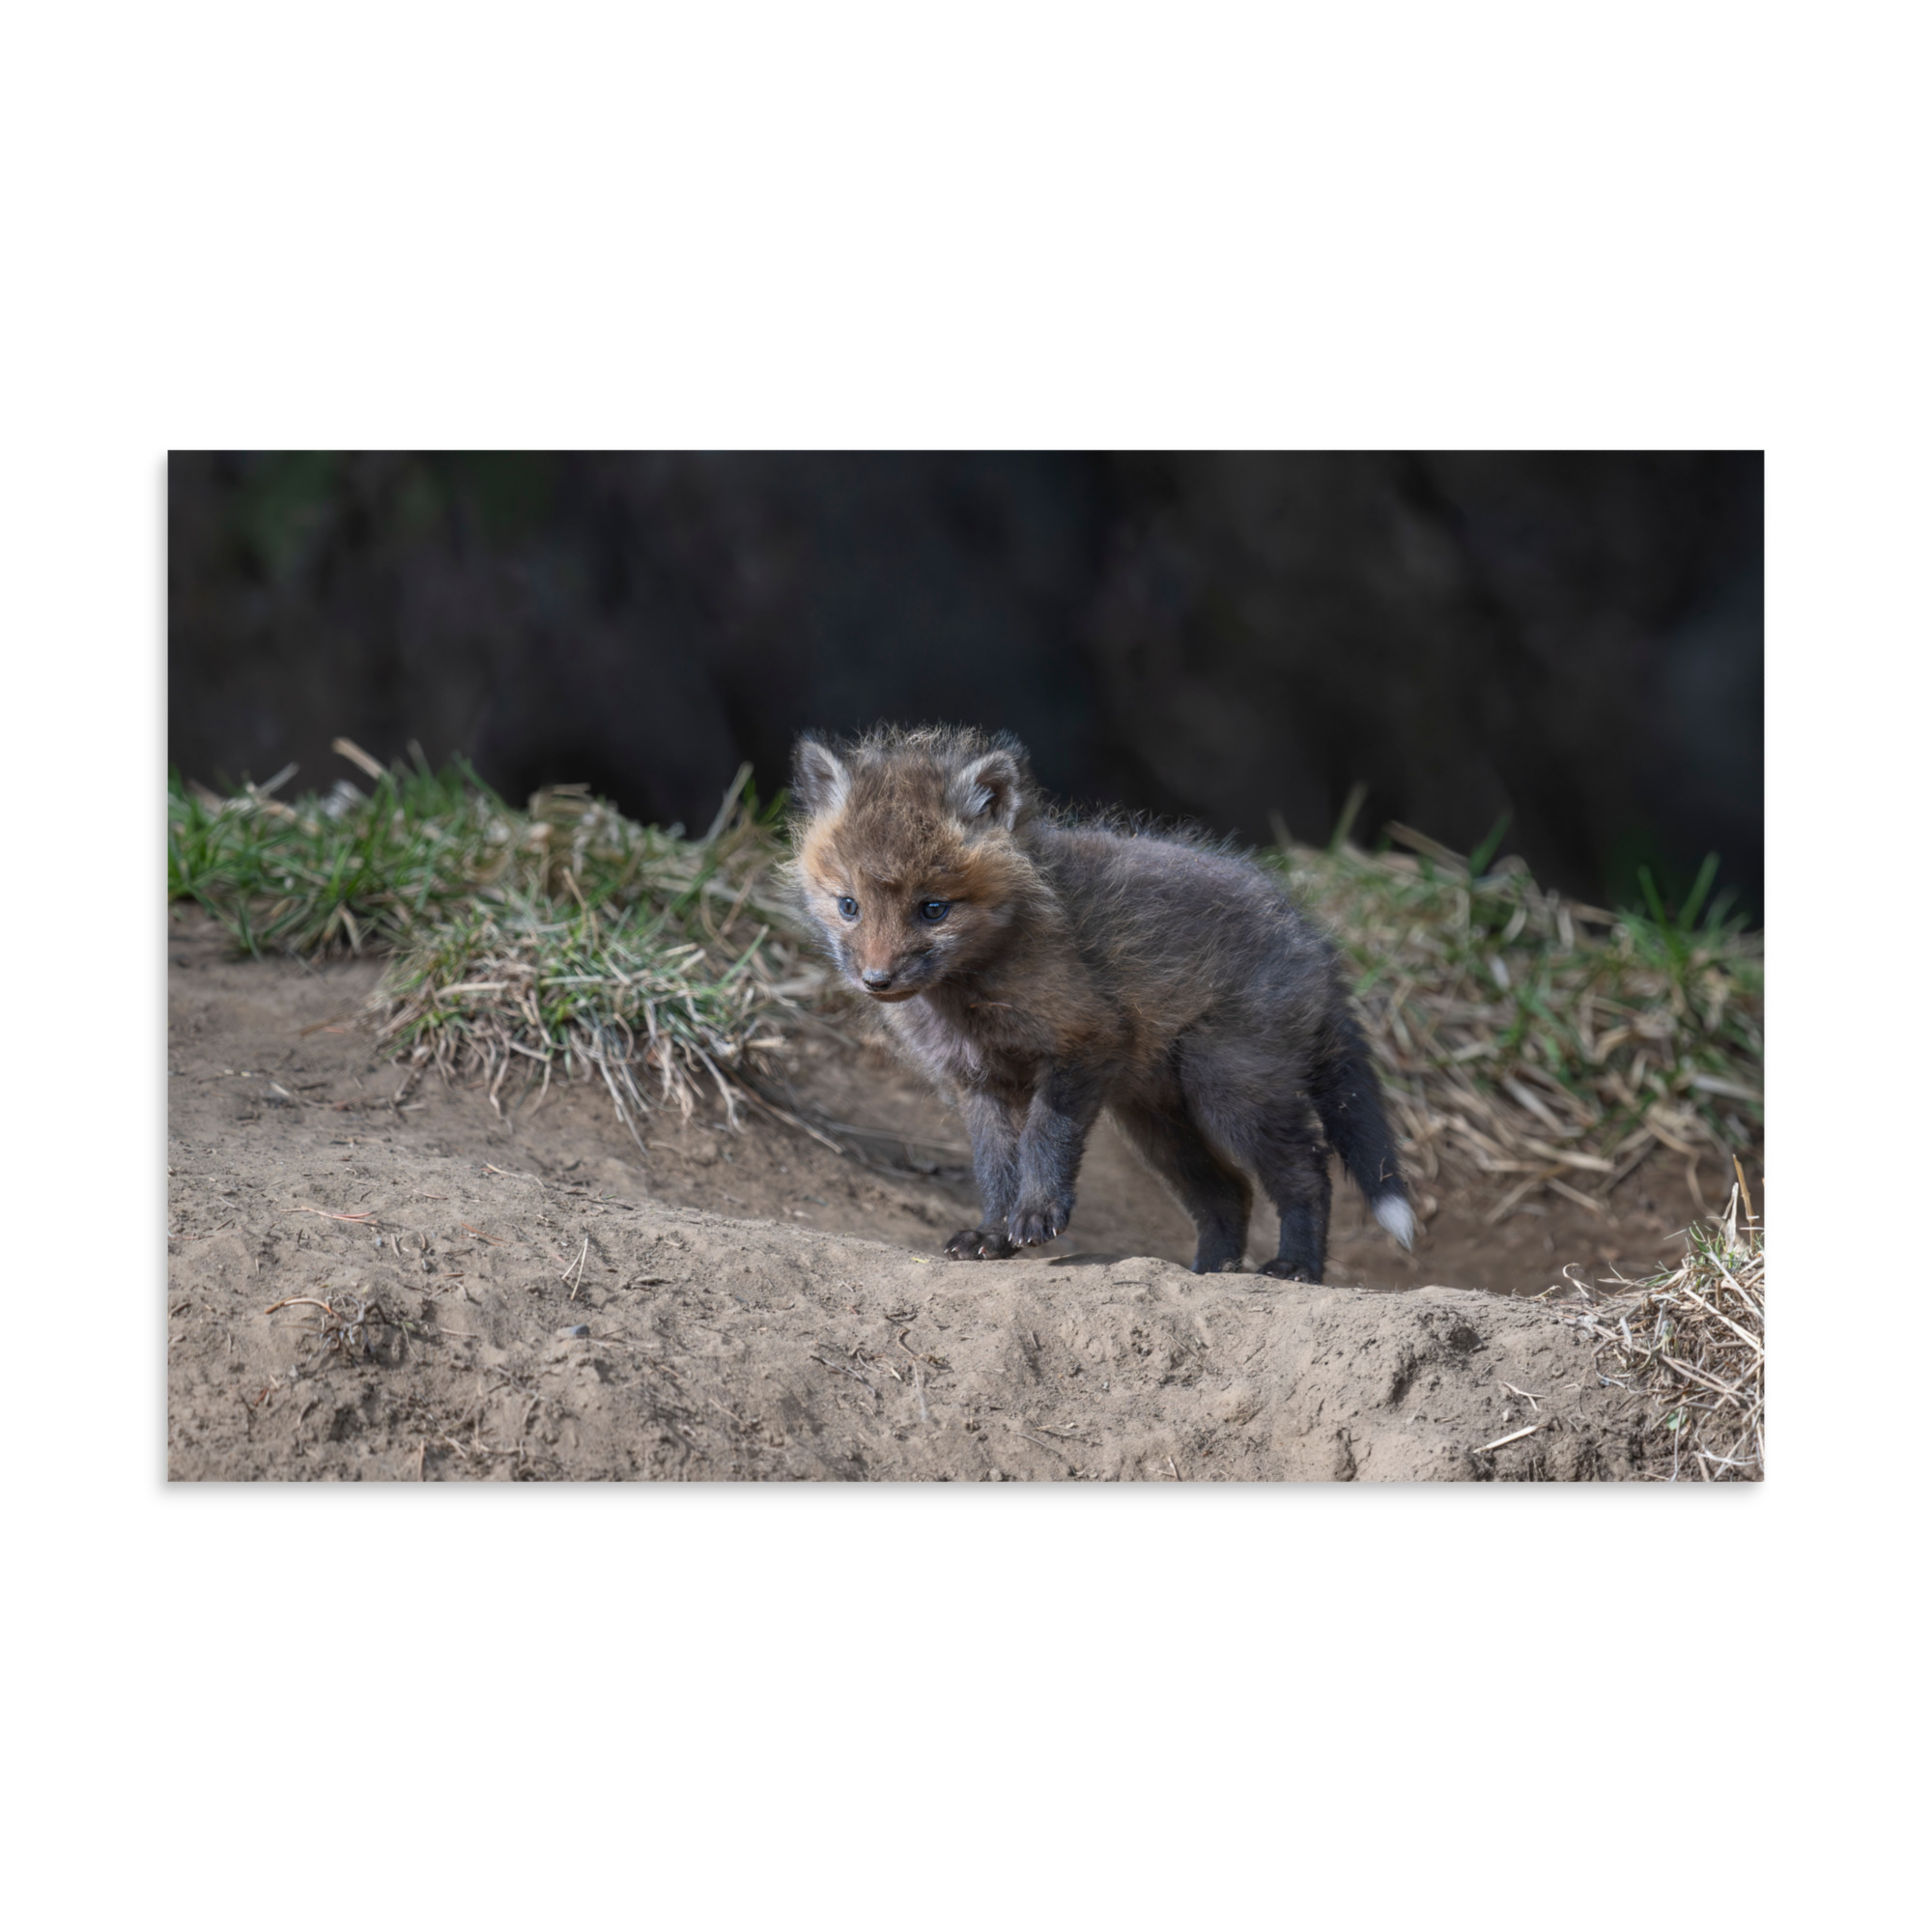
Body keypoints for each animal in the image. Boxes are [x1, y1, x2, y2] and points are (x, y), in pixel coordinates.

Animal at [787, 725, 1414, 1281]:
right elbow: (995, 1167)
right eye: (848, 906)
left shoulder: (1084, 1042)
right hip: (1157, 1122)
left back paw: (1296, 1267)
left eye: (933, 909)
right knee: (1229, 1193)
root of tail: (1314, 939)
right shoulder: (979, 1082)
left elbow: (1044, 1138)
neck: (971, 997)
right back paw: (1211, 1272)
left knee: (1308, 1172)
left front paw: (1037, 1214)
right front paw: (992, 1234)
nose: (877, 980)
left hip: (1230, 1090)